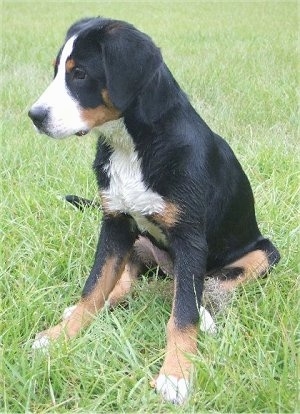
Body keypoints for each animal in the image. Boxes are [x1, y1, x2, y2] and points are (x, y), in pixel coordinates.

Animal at [28, 17, 278, 404]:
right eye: (56, 71)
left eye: (79, 73)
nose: (35, 116)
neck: (130, 146)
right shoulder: (115, 223)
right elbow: (93, 287)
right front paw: (59, 335)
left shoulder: (190, 239)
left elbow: (183, 313)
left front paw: (176, 374)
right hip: (140, 241)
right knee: (129, 281)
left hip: (264, 251)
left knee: (214, 283)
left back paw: (207, 313)